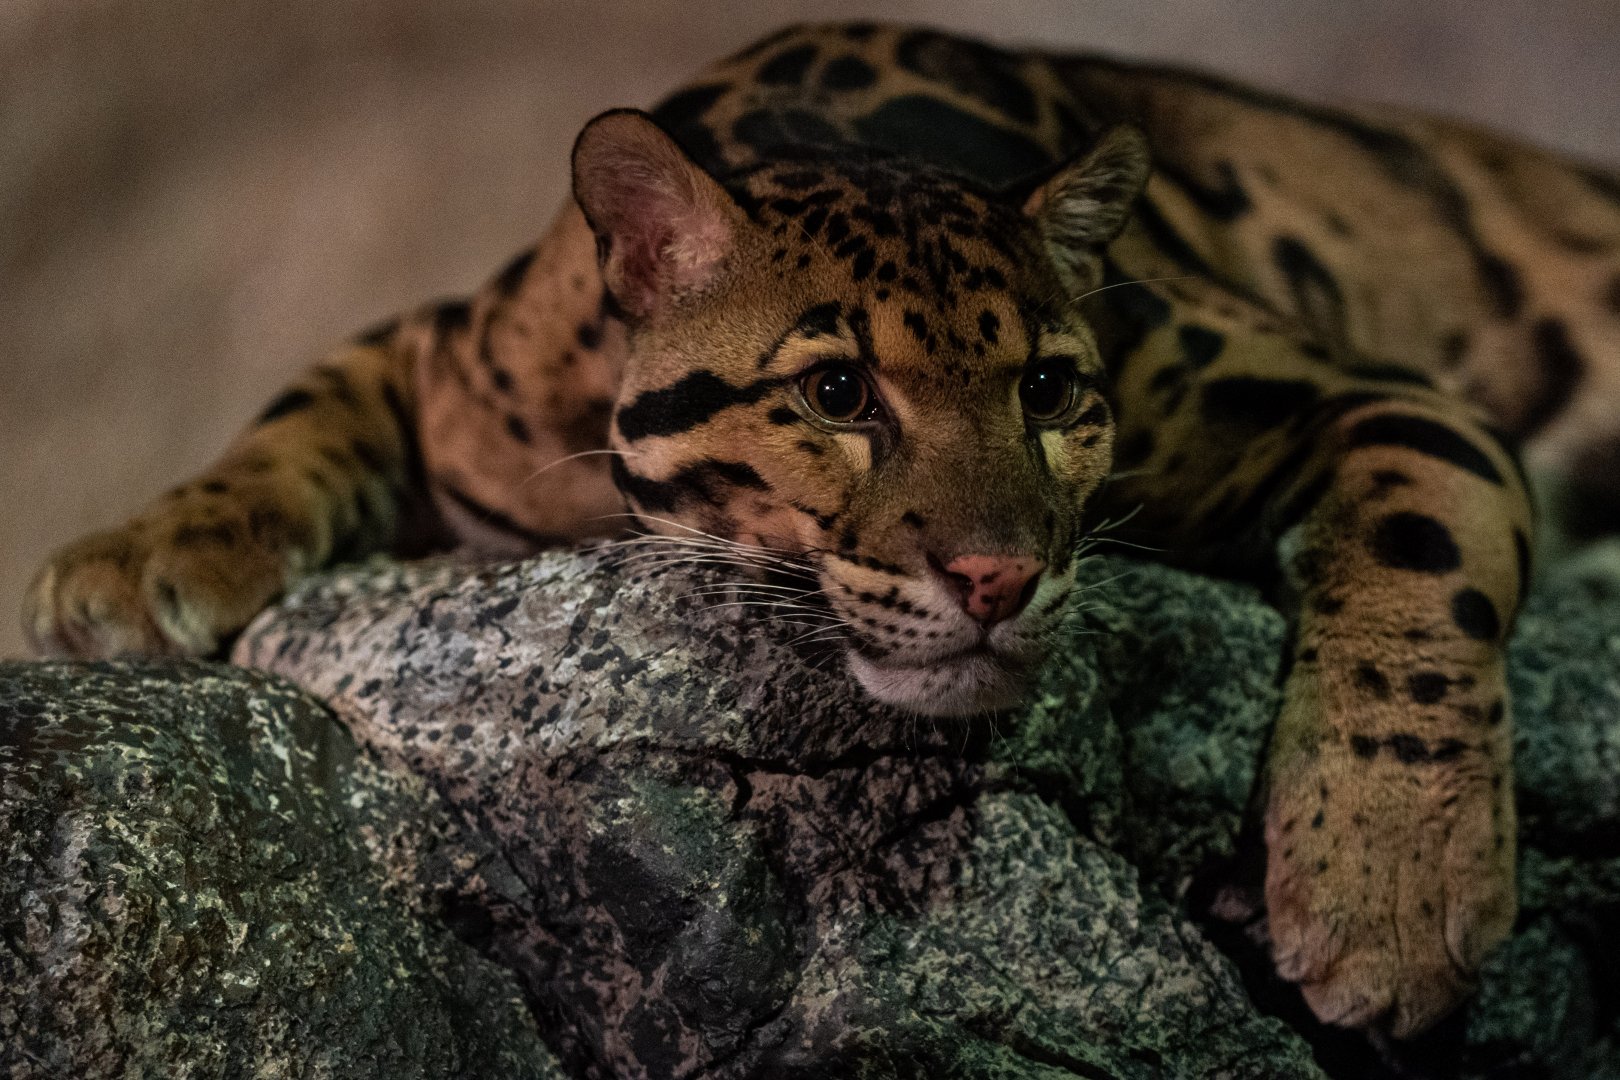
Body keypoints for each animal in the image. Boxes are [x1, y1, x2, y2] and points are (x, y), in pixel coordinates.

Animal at [24, 22, 1620, 1040]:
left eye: (1050, 389)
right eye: (837, 391)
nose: (998, 575)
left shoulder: (1378, 393)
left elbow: (1421, 556)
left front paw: (1390, 890)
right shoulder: (443, 347)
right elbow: (298, 406)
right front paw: (136, 555)